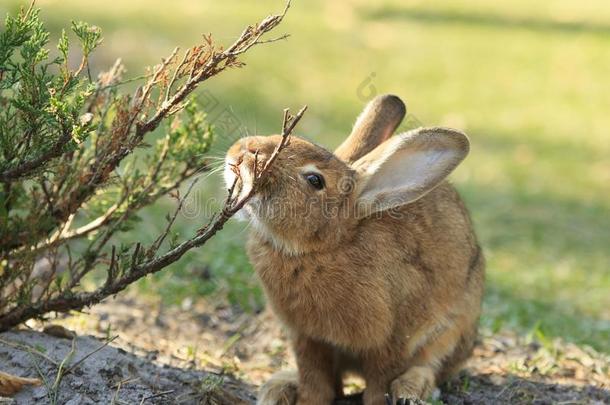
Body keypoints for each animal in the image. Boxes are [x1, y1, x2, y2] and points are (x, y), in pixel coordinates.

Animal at [223, 94, 484, 404]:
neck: (325, 247)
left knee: (430, 367)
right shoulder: (308, 338)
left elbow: (380, 380)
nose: (241, 151)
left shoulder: (391, 340)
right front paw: (308, 400)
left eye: (315, 180)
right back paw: (279, 387)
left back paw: (409, 390)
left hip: (451, 333)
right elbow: (316, 381)